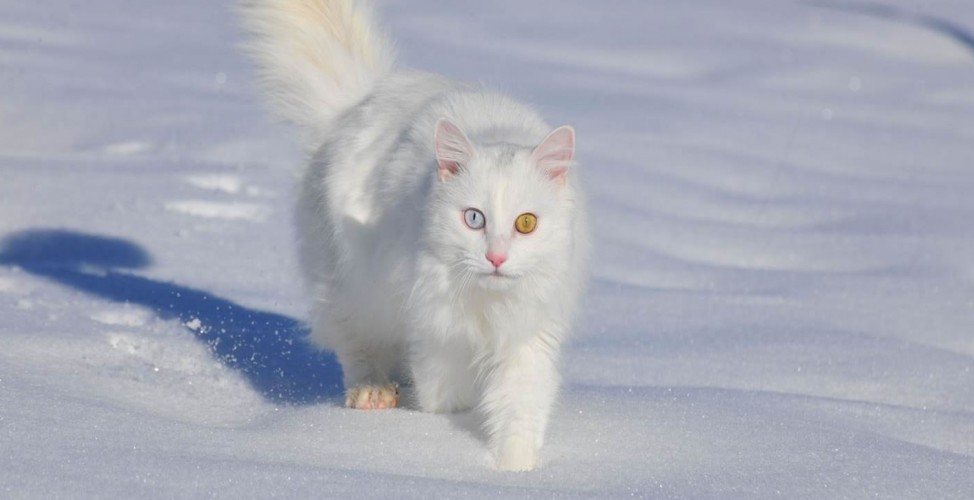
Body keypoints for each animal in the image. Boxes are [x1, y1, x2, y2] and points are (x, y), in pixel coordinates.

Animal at [240, 0, 592, 470]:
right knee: (357, 347)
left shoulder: (531, 336)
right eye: (474, 218)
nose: (496, 258)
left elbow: (520, 407)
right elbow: (444, 393)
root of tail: (358, 102)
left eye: (526, 223)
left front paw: (514, 469)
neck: (487, 308)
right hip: (350, 288)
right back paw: (373, 393)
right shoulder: (432, 330)